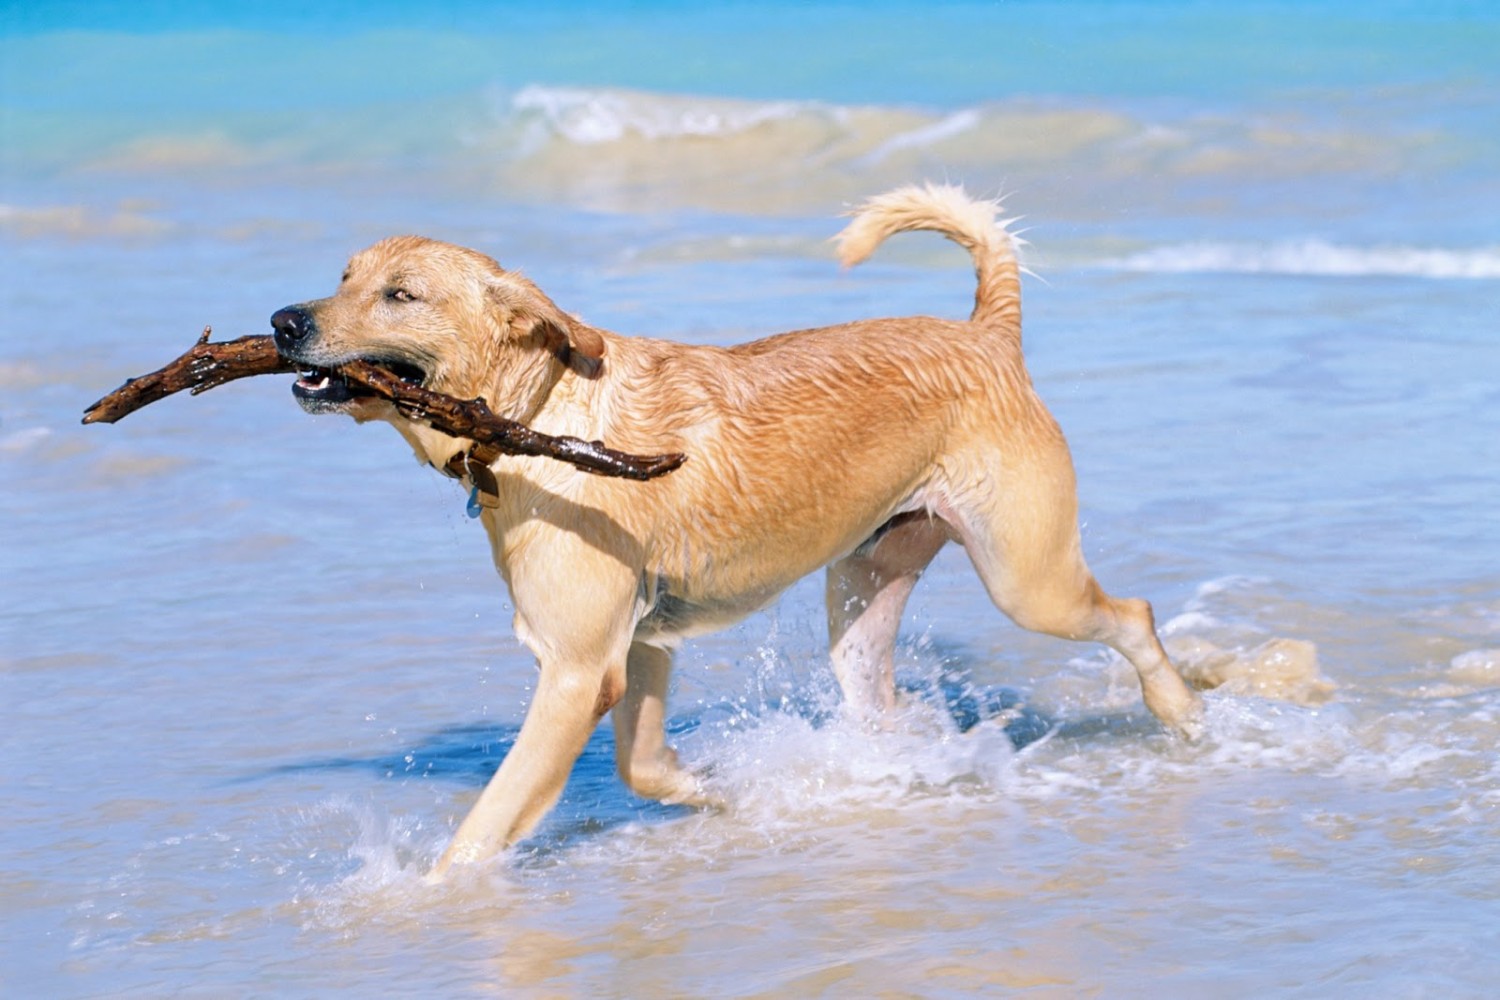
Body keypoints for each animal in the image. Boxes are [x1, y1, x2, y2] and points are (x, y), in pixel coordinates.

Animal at [270, 185, 1200, 875]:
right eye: (342, 276)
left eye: (400, 294)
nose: (282, 322)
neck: (540, 413)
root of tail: (988, 333)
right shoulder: (641, 644)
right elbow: (645, 767)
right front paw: (728, 792)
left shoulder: (577, 670)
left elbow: (482, 828)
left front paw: (419, 900)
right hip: (861, 599)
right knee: (880, 702)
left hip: (1026, 579)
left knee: (1133, 615)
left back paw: (1184, 713)